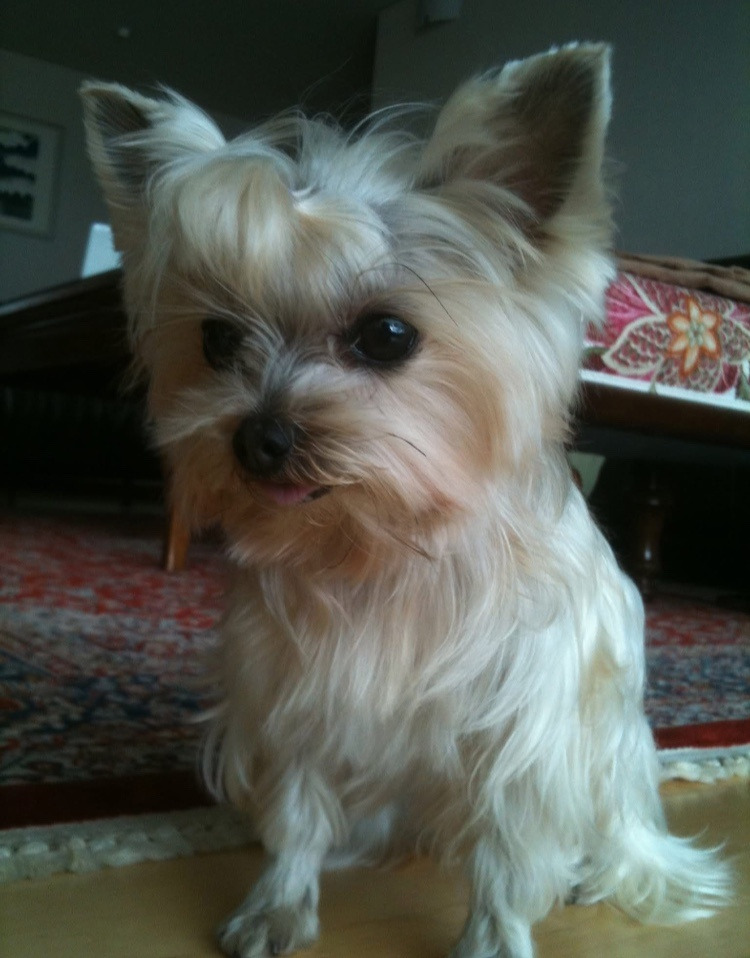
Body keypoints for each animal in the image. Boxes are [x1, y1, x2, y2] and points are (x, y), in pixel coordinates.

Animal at [82, 44, 730, 958]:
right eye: (216, 339)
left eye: (387, 336)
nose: (258, 438)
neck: (383, 545)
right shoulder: (297, 699)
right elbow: (297, 813)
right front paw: (279, 902)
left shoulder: (522, 734)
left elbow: (506, 854)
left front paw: (495, 938)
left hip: (609, 759)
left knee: (610, 830)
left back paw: (594, 868)